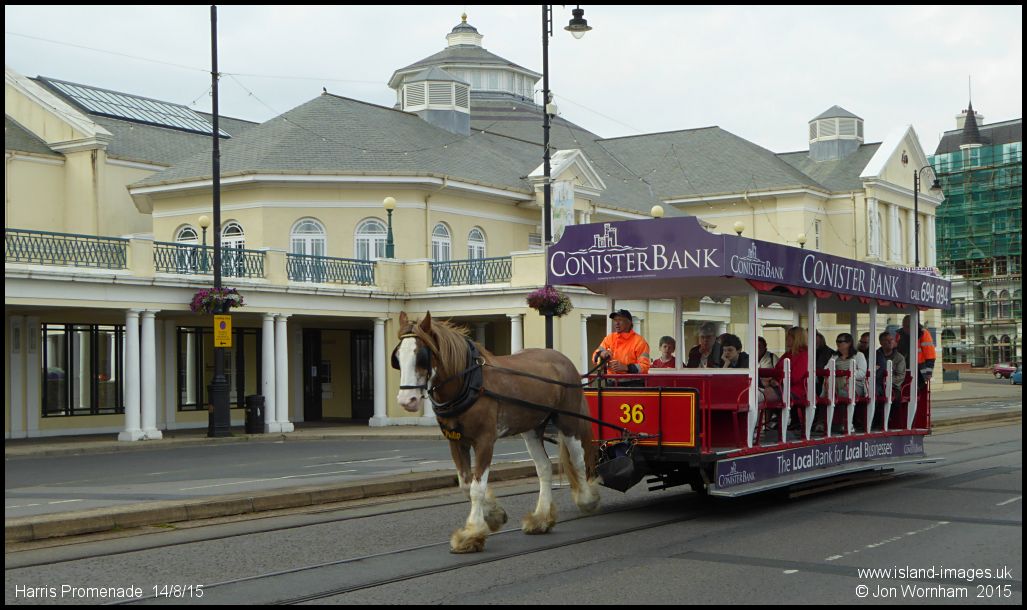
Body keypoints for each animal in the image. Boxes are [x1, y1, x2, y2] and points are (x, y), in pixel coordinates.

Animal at [393, 311, 600, 553]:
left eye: (421, 356)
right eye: (398, 357)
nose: (406, 400)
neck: (469, 384)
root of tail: (562, 358)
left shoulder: (485, 441)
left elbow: (476, 487)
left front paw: (472, 533)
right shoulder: (456, 442)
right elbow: (465, 484)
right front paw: (493, 515)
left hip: (568, 422)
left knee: (578, 461)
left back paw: (587, 499)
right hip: (531, 429)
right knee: (544, 468)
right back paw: (541, 518)